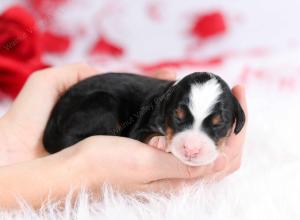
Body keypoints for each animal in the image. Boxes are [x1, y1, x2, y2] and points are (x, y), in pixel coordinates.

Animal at [44, 72, 246, 167]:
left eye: (219, 124)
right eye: (177, 117)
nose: (191, 149)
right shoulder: (139, 127)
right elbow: (145, 134)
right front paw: (159, 140)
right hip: (103, 103)